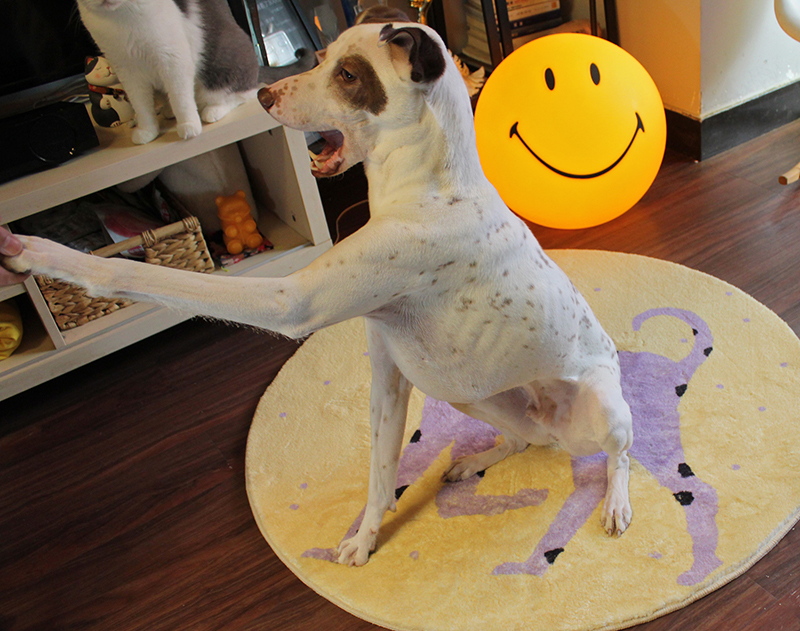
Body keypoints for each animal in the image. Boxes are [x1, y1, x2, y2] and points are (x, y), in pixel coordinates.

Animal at [1, 22, 634, 567]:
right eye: (323, 57)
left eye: (349, 75)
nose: (262, 94)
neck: (428, 185)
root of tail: (554, 423)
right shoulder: (390, 375)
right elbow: (380, 475)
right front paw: (364, 540)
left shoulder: (291, 300)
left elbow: (163, 282)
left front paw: (36, 252)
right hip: (463, 391)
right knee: (522, 440)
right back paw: (476, 460)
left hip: (600, 410)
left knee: (620, 453)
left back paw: (616, 503)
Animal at [76, 0, 260, 145]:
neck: (120, 19)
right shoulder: (127, 71)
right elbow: (141, 105)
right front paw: (148, 131)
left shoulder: (172, 59)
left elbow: (180, 97)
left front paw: (189, 125)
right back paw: (168, 110)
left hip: (220, 69)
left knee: (245, 93)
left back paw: (213, 110)